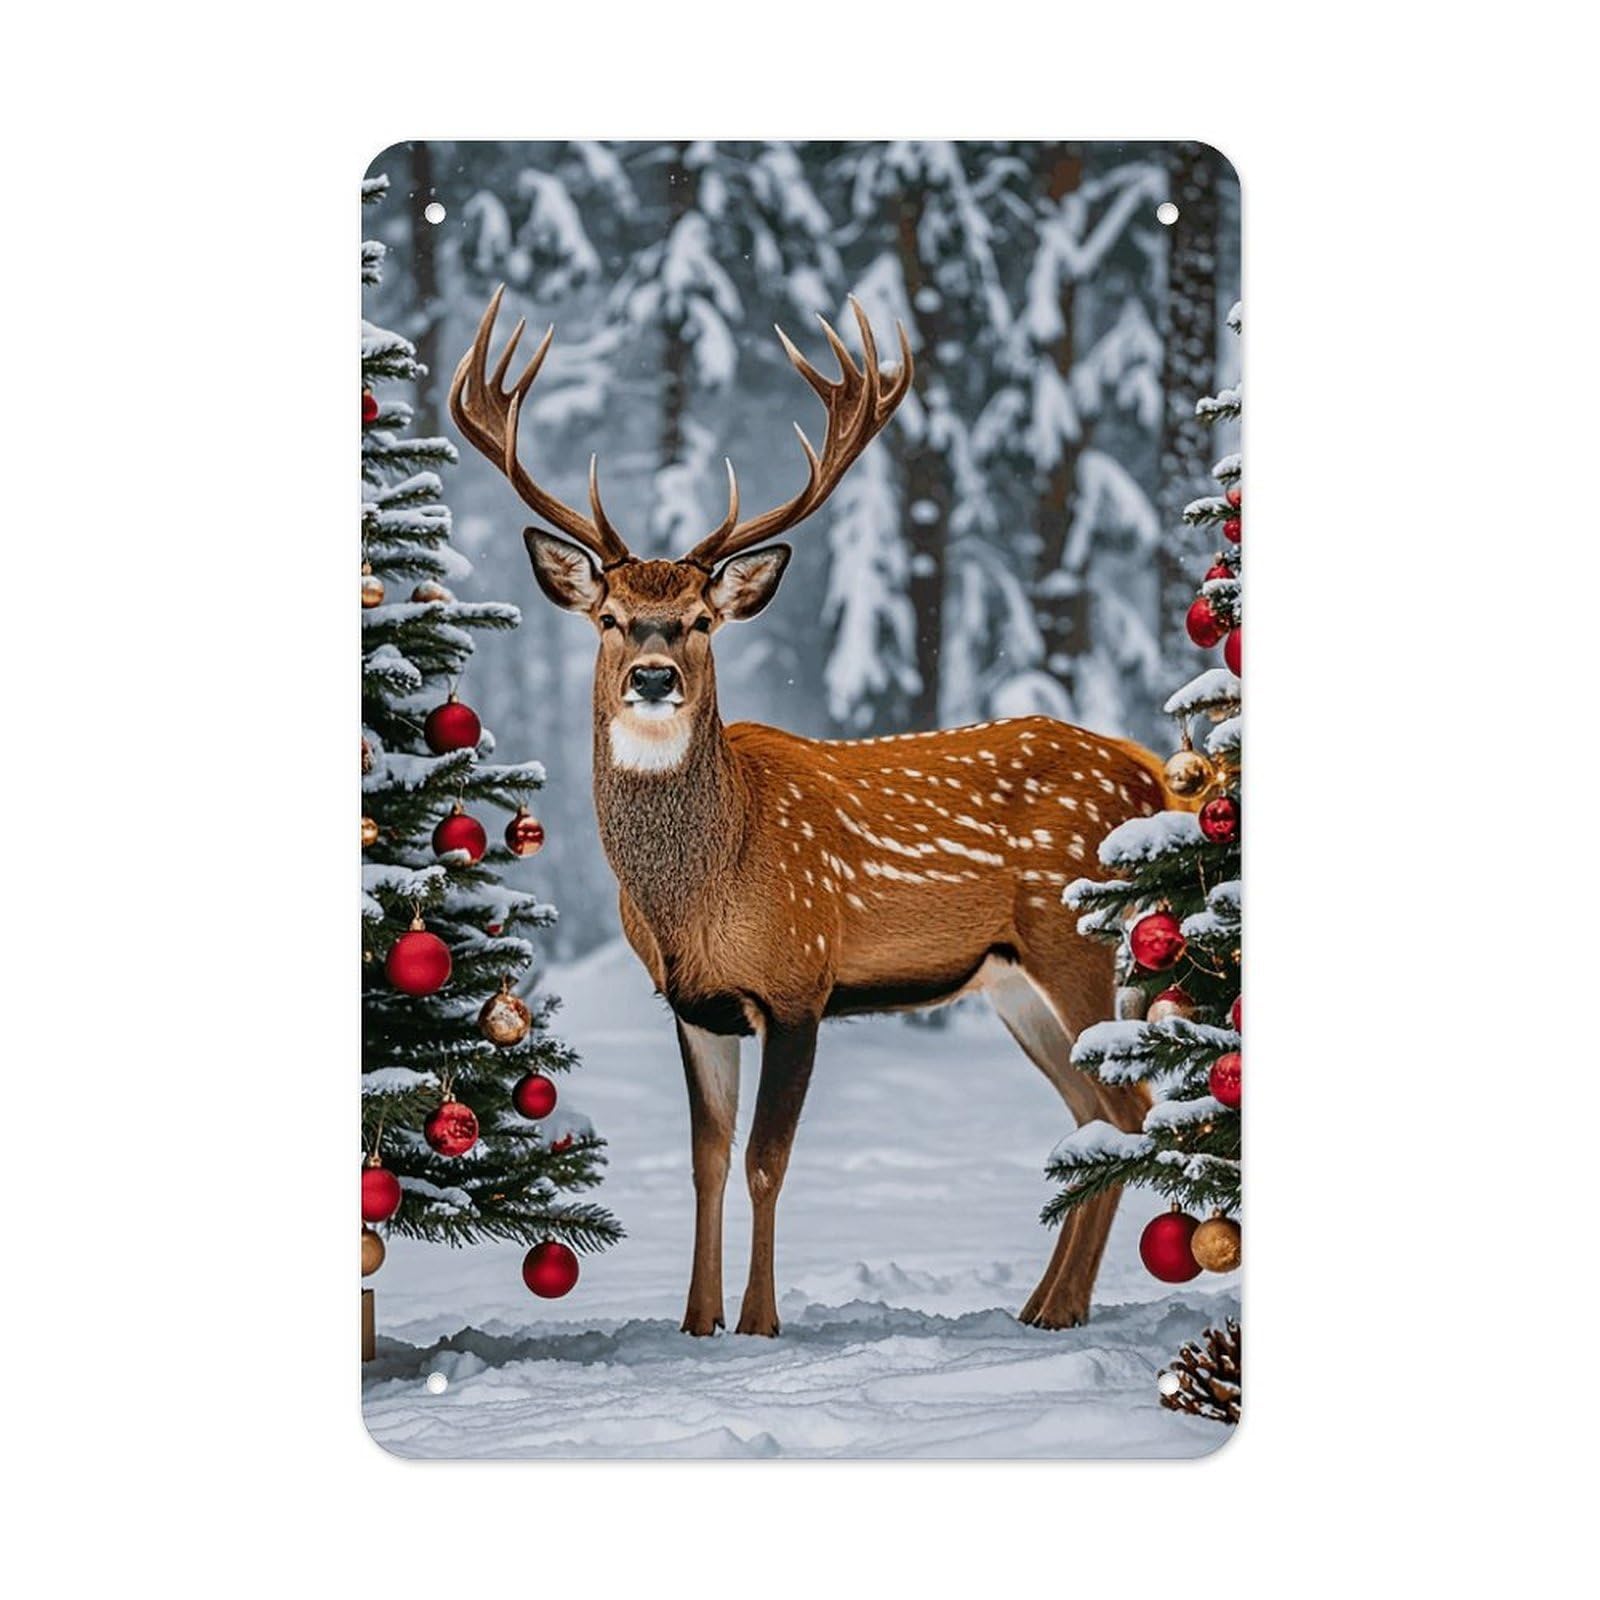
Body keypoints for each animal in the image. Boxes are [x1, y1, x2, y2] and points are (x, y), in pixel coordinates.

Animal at [451, 286, 1175, 1337]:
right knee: (1094, 1119)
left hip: (1080, 941)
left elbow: (766, 1161)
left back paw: (1055, 1312)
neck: (699, 892)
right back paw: (1044, 1307)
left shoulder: (799, 980)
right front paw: (696, 1324)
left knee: (1127, 1112)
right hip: (1013, 980)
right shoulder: (696, 1003)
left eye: (702, 620)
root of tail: (1154, 777)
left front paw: (759, 1324)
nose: (655, 675)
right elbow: (707, 1162)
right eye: (611, 617)